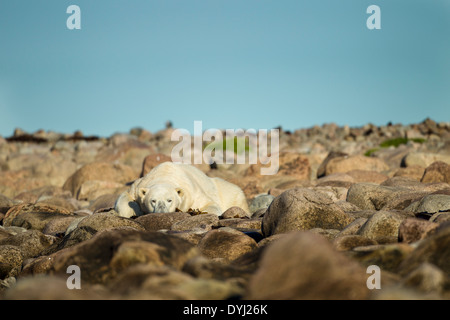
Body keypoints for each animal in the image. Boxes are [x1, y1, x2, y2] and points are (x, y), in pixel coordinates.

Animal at [115, 161, 250, 219]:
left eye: (169, 200)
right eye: (153, 200)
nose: (161, 212)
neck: (165, 175)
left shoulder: (193, 193)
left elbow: (209, 204)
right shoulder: (138, 185)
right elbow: (125, 197)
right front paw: (134, 211)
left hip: (229, 192)